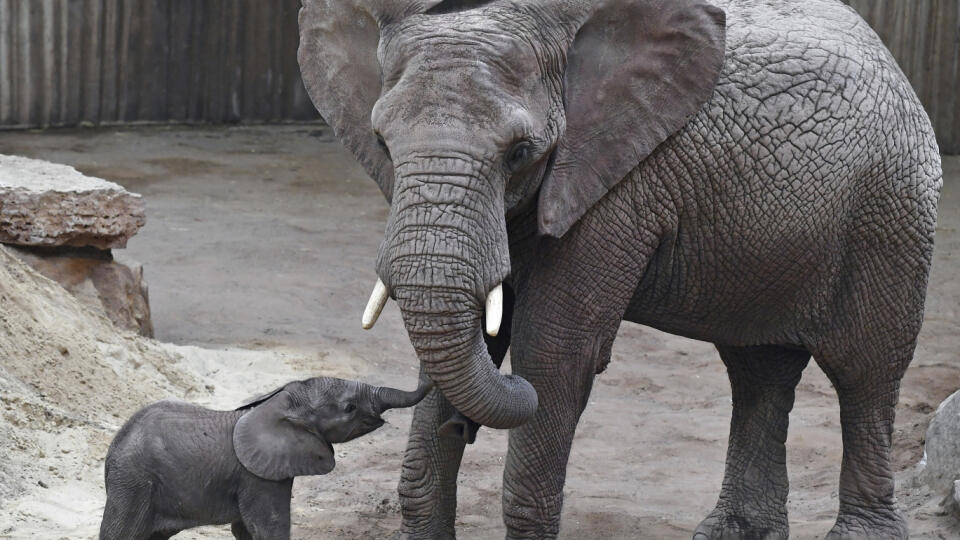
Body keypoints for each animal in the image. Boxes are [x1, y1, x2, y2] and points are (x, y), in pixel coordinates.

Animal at [99, 376, 430, 540]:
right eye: (349, 408)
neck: (277, 403)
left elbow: (246, 530)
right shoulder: (259, 477)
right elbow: (269, 526)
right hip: (134, 484)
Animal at [298, 0, 936, 536]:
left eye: (520, 153)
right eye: (382, 143)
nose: (462, 426)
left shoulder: (618, 184)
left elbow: (555, 353)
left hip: (891, 213)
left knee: (865, 373)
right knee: (758, 369)